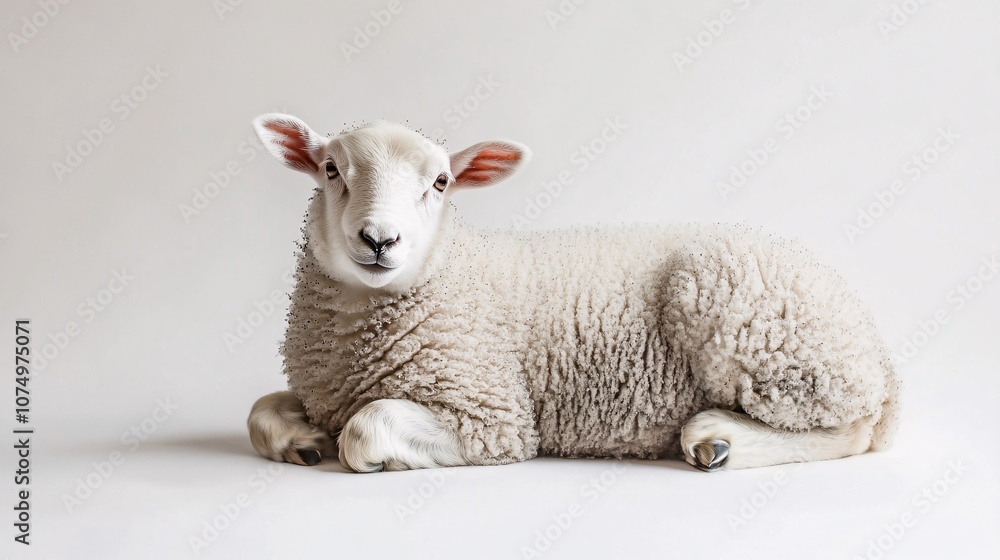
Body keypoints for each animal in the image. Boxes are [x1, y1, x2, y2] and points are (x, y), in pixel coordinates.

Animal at [247, 113, 901, 473]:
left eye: (441, 182)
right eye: (331, 170)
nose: (380, 239)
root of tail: (874, 346)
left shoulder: (494, 415)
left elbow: (367, 427)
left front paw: (356, 448)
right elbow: (261, 415)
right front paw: (305, 440)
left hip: (769, 338)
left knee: (853, 428)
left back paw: (718, 440)